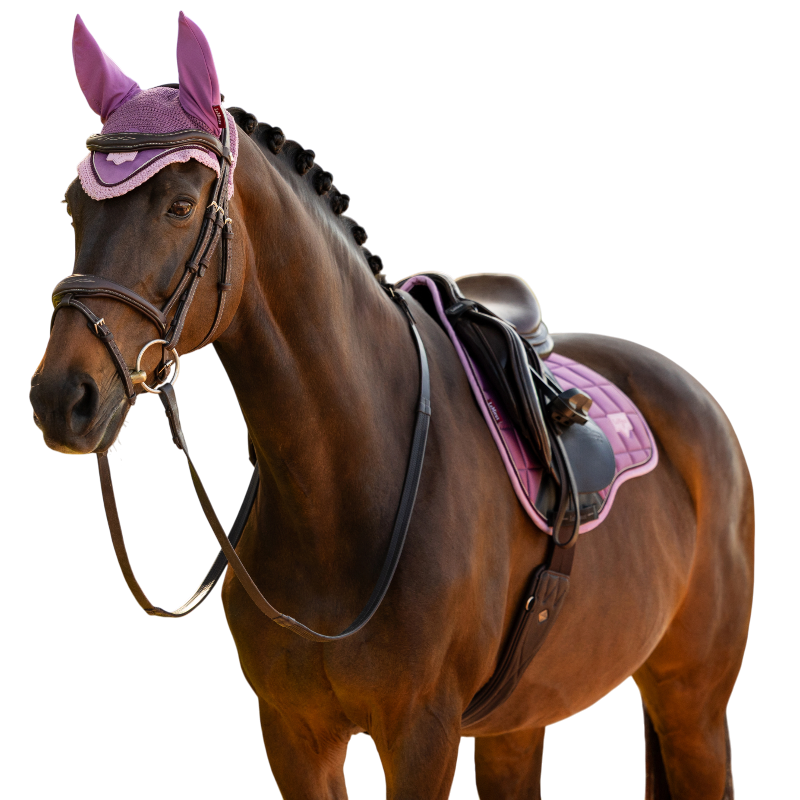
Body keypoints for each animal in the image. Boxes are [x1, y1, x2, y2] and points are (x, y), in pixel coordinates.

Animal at [30, 14, 754, 799]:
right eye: (72, 206)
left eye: (181, 206)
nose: (62, 396)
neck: (346, 479)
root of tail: (695, 399)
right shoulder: (294, 734)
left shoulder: (421, 733)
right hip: (522, 721)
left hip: (692, 706)